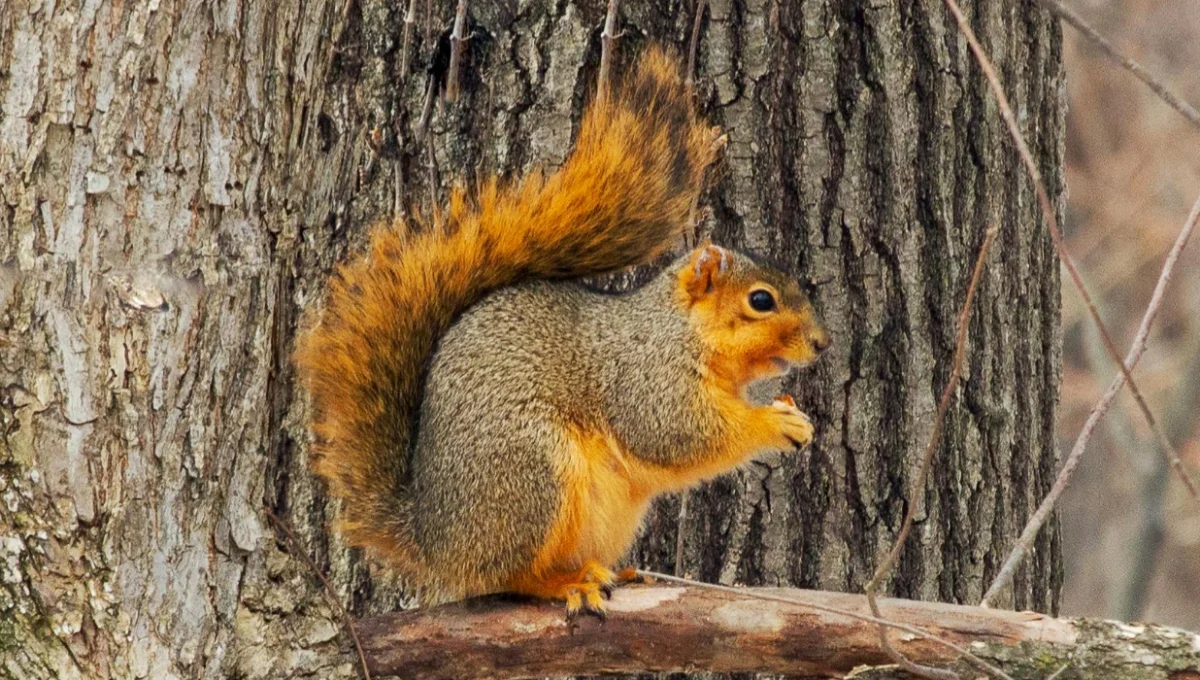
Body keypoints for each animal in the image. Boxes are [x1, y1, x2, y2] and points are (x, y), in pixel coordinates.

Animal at [295, 46, 831, 618]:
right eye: (761, 301)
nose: (822, 343)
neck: (680, 330)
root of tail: (434, 539)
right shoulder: (645, 378)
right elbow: (677, 434)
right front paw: (775, 422)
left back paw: (620, 571)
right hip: (533, 471)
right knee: (505, 576)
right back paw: (566, 582)